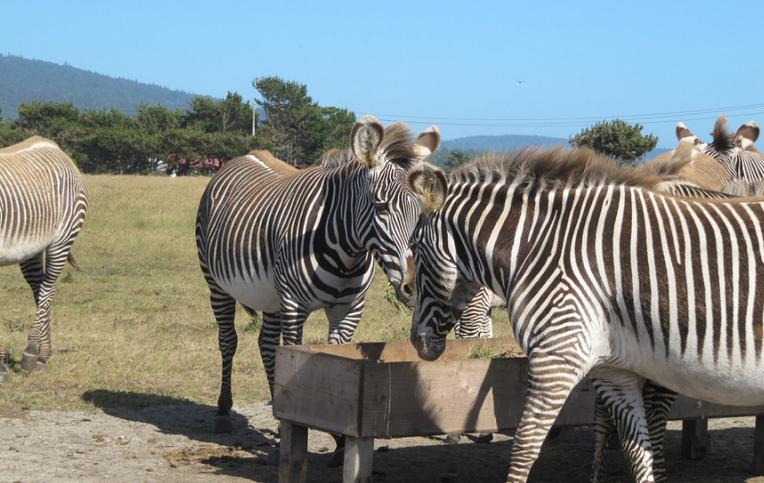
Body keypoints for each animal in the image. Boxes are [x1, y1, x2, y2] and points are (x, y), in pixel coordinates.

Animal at [0, 135, 88, 382]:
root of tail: (49, 143)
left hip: (63, 238)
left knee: (48, 287)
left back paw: (31, 354)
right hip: (31, 248)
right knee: (40, 288)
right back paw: (43, 352)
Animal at [194, 115, 444, 432]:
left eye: (421, 213)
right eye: (381, 206)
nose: (414, 287)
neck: (346, 255)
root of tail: (245, 155)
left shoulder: (348, 309)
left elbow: (333, 356)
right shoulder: (293, 305)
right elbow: (293, 356)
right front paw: (294, 421)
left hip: (271, 296)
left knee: (267, 344)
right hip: (217, 284)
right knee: (228, 340)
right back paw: (224, 411)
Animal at [408, 148, 764, 483]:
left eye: (414, 248)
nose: (416, 341)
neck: (539, 248)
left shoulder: (556, 356)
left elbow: (524, 448)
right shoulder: (613, 371)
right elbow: (637, 455)